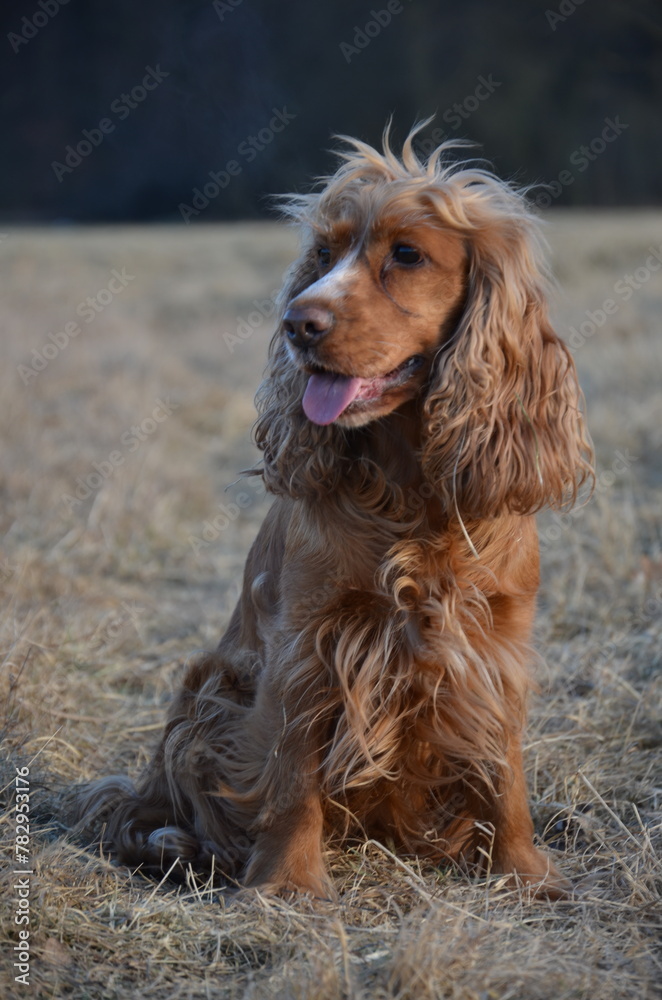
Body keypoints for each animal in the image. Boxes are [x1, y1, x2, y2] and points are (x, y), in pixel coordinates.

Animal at [79, 123, 596, 900]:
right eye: (323, 255)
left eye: (407, 255)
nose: (298, 322)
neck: (412, 494)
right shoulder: (311, 638)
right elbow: (293, 773)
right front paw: (288, 885)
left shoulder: (496, 641)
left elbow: (505, 768)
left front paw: (524, 871)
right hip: (210, 691)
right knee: (160, 804)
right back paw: (181, 842)